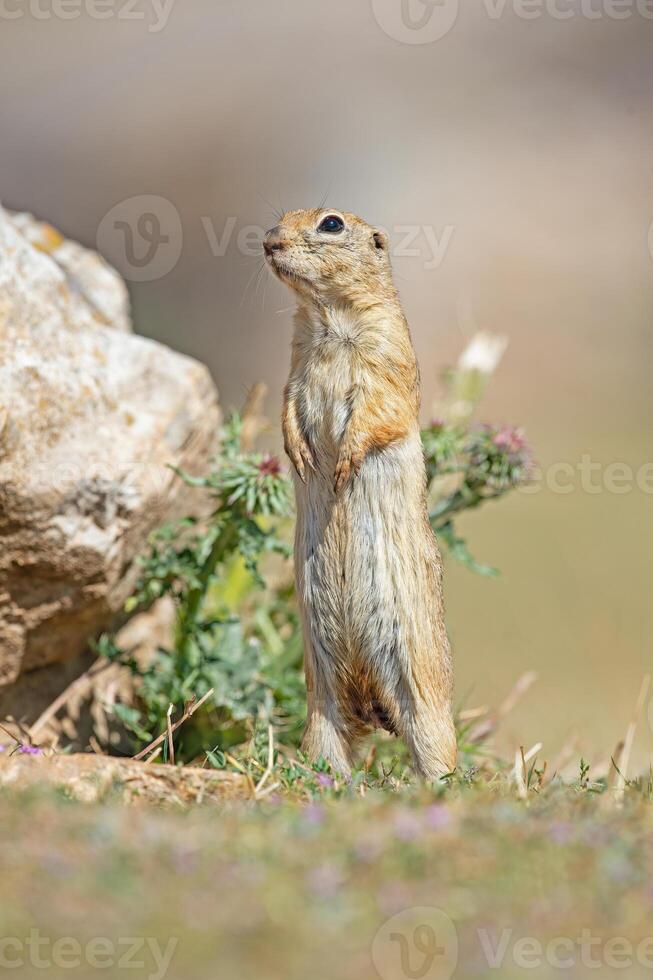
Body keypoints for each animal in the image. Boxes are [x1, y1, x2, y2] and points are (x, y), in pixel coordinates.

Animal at [262, 209, 456, 780]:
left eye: (331, 223)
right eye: (280, 217)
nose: (268, 241)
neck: (328, 321)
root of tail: (372, 707)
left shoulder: (387, 357)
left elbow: (377, 410)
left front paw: (343, 461)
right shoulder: (295, 365)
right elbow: (288, 404)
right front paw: (301, 456)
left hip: (425, 704)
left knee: (438, 752)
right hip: (321, 707)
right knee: (329, 747)